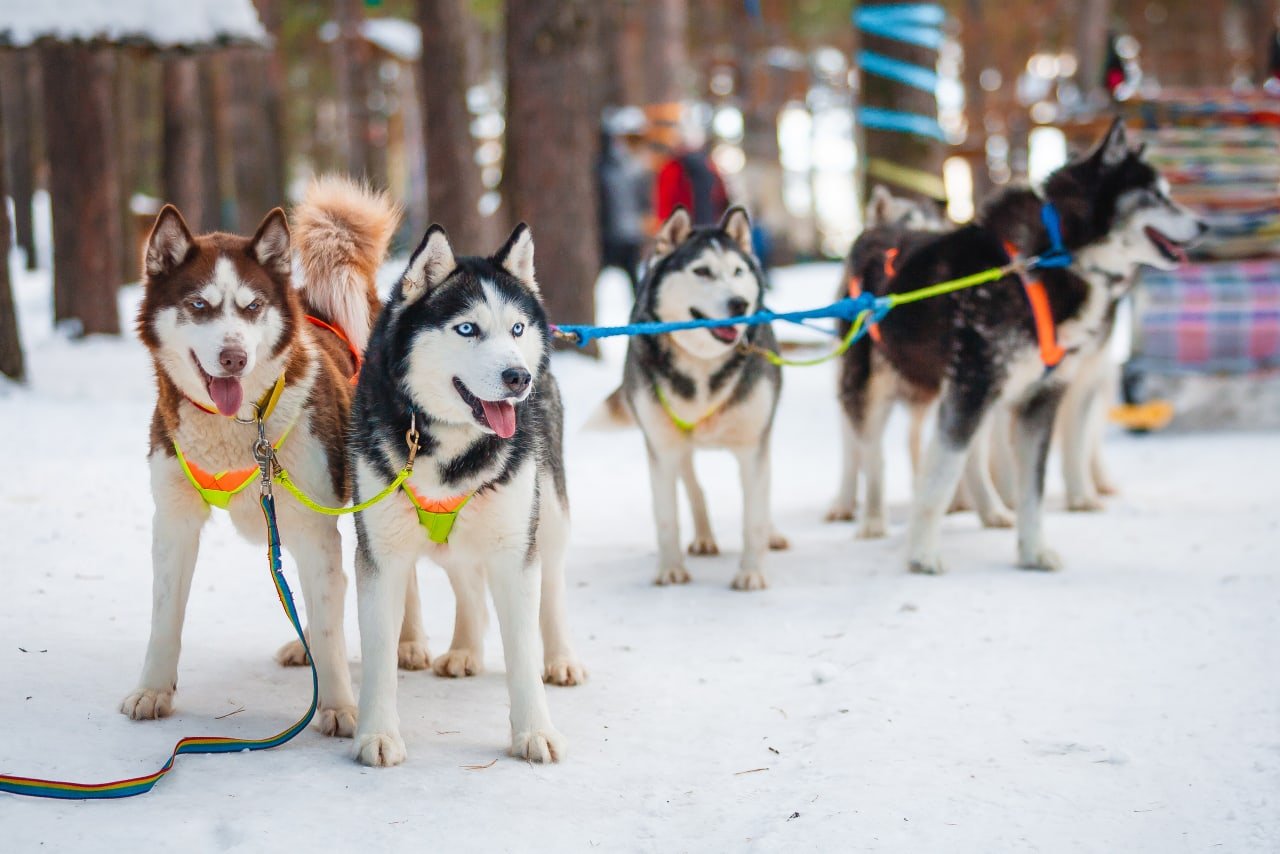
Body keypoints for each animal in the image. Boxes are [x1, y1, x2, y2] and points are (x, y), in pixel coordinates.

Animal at [125, 176, 396, 737]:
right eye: (199, 306)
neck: (240, 428)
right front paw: (153, 690)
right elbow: (165, 617)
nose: (234, 358)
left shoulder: (316, 529)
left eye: (252, 307)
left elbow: (333, 630)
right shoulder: (174, 521)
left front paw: (338, 706)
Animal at [350, 222, 581, 768]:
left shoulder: (515, 550)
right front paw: (377, 734)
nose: (518, 378)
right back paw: (465, 650)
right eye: (467, 329)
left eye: (516, 329)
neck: (450, 446)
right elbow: (379, 656)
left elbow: (523, 651)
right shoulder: (381, 556)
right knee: (467, 583)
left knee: (553, 585)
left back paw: (560, 658)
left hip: (548, 514)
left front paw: (535, 731)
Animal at [599, 209, 778, 591]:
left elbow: (754, 515)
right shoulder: (661, 448)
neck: (703, 367)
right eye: (702, 271)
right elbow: (666, 515)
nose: (739, 303)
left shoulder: (754, 446)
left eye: (737, 271)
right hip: (678, 445)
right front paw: (670, 569)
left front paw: (751, 571)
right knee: (694, 487)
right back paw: (705, 536)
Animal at [844, 118, 1203, 573]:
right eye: (1156, 196)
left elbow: (1032, 489)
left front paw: (1033, 552)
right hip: (873, 391)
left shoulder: (1039, 399)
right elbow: (940, 478)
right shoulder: (971, 388)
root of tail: (873, 231)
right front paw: (922, 554)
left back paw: (990, 511)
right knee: (873, 458)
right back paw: (873, 520)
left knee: (970, 460)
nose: (1205, 226)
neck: (1052, 256)